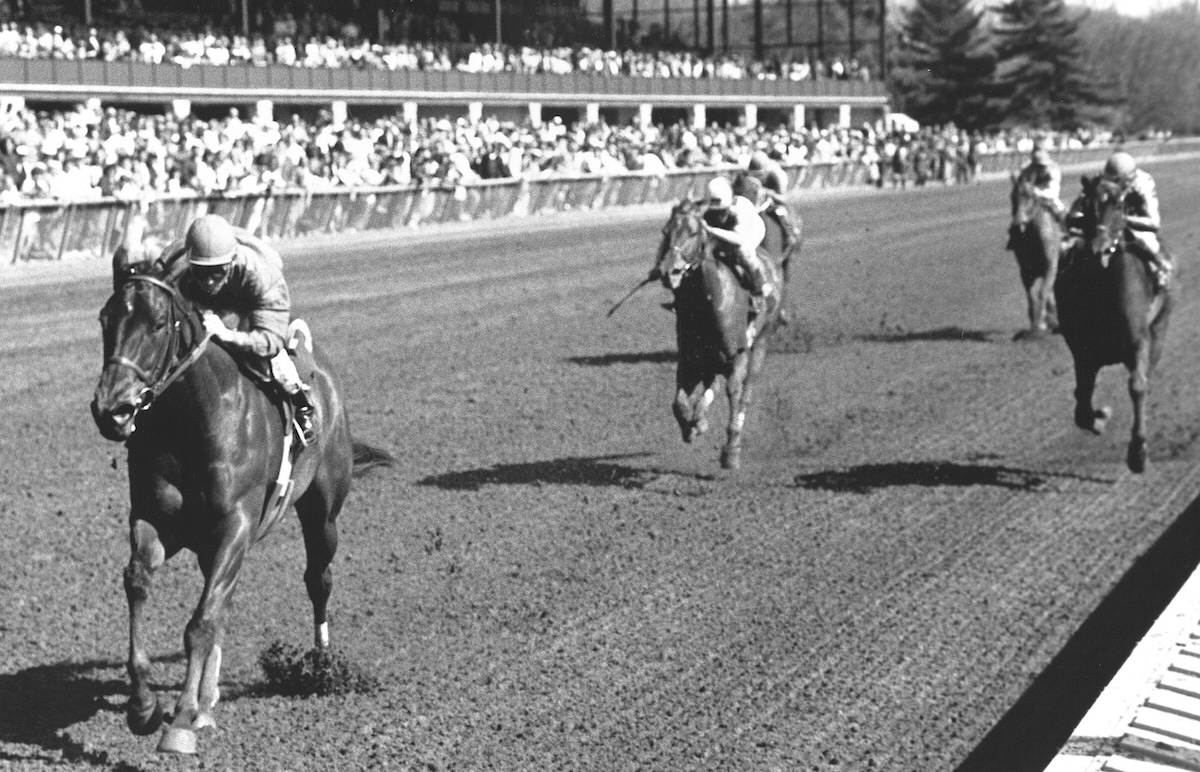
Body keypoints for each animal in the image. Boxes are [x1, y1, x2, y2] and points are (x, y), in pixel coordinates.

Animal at [90, 249, 376, 753]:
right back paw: (207, 698)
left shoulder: (235, 525)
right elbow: (139, 583)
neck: (191, 419)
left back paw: (321, 665)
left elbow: (200, 622)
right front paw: (144, 706)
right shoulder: (155, 520)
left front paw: (182, 719)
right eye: (106, 320)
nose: (112, 410)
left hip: (322, 511)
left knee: (318, 579)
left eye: (158, 323)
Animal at [652, 196, 792, 468]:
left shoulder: (736, 356)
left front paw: (731, 450)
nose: (668, 271)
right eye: (665, 232)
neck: (710, 301)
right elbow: (678, 403)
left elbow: (733, 393)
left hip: (761, 341)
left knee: (746, 391)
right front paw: (693, 425)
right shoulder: (690, 359)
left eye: (693, 233)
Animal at [1008, 171, 1065, 338]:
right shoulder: (1026, 272)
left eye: (1030, 196)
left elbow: (1042, 292)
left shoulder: (1051, 267)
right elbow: (1032, 297)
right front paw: (1037, 325)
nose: (1016, 225)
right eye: (1012, 196)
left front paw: (1041, 325)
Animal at [1060, 175, 1171, 473]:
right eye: (1087, 205)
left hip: (1160, 330)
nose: (1099, 246)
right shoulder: (1082, 351)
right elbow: (1082, 397)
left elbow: (1138, 386)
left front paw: (1138, 452)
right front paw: (1099, 417)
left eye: (1121, 205)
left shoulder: (1139, 340)